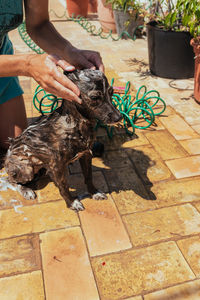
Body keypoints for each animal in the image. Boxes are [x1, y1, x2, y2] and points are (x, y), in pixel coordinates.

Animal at [3, 70, 122, 211]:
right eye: (94, 98)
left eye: (112, 92)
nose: (119, 117)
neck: (77, 124)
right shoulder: (57, 166)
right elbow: (64, 187)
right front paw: (72, 203)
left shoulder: (86, 155)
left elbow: (89, 176)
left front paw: (94, 192)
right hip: (26, 168)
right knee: (11, 180)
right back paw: (26, 190)